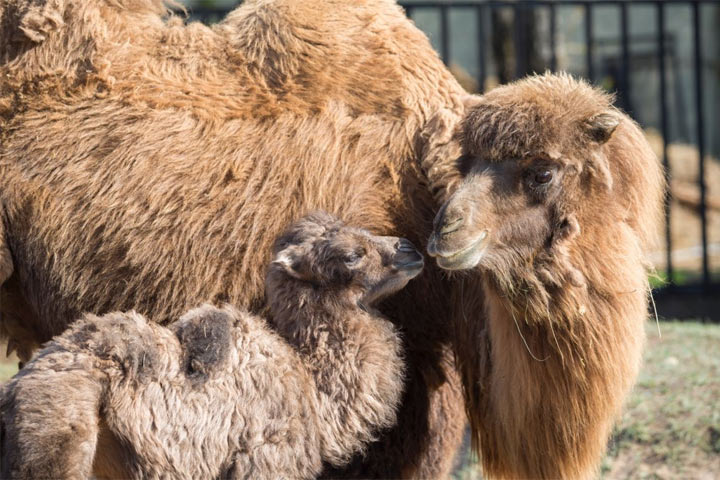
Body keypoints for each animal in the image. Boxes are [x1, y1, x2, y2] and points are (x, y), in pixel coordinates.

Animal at [0, 214, 422, 480]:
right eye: (351, 255)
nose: (411, 249)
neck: (310, 388)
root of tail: (17, 391)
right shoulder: (266, 459)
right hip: (60, 440)